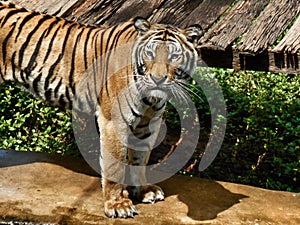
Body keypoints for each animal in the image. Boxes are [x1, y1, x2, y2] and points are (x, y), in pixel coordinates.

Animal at [0, 0, 203, 218]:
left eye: (174, 56)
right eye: (150, 53)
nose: (157, 79)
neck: (150, 98)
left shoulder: (148, 123)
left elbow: (140, 159)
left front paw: (143, 190)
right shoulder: (114, 122)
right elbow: (115, 167)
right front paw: (117, 205)